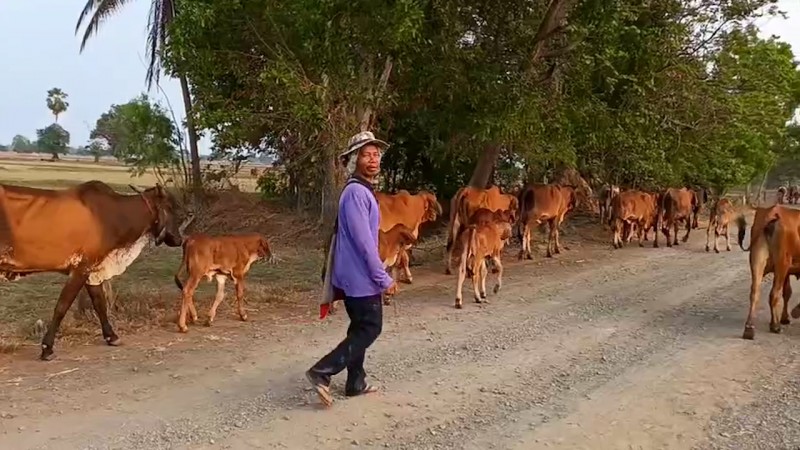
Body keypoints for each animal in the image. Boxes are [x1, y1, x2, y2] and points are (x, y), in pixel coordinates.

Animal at [0, 181, 188, 360]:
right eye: (172, 208)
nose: (178, 240)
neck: (115, 214)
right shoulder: (81, 268)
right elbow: (62, 307)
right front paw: (47, 348)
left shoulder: (92, 271)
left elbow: (99, 304)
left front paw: (112, 336)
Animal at [736, 206, 800, 340]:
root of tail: (773, 212)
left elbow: (787, 292)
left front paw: (785, 318)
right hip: (782, 262)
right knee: (774, 293)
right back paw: (775, 325)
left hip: (757, 260)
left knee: (755, 292)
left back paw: (749, 328)